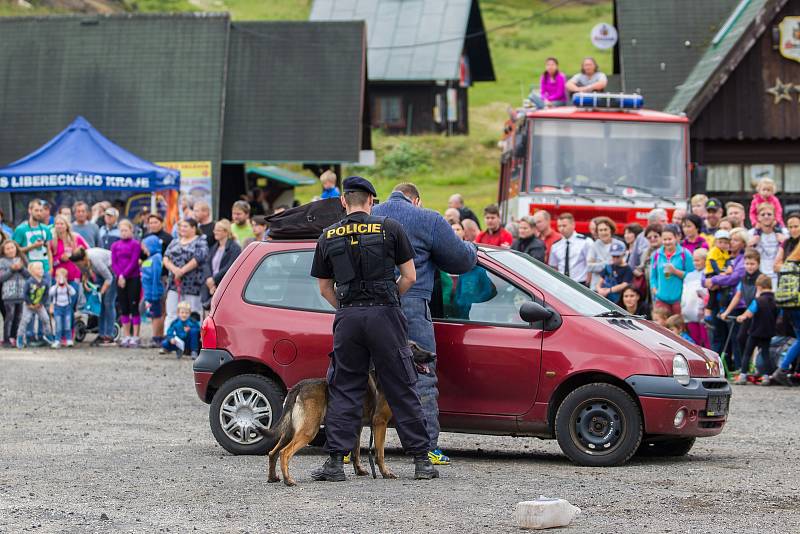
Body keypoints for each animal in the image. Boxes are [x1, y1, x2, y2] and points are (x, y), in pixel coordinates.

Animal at [260, 344, 438, 490]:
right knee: (284, 453)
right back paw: (288, 480)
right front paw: (385, 473)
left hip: (289, 432)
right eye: (413, 347)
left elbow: (356, 451)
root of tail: (299, 386)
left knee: (273, 452)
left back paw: (273, 477)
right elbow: (379, 453)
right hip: (308, 430)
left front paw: (359, 470)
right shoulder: (379, 423)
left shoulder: (357, 426)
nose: (433, 355)